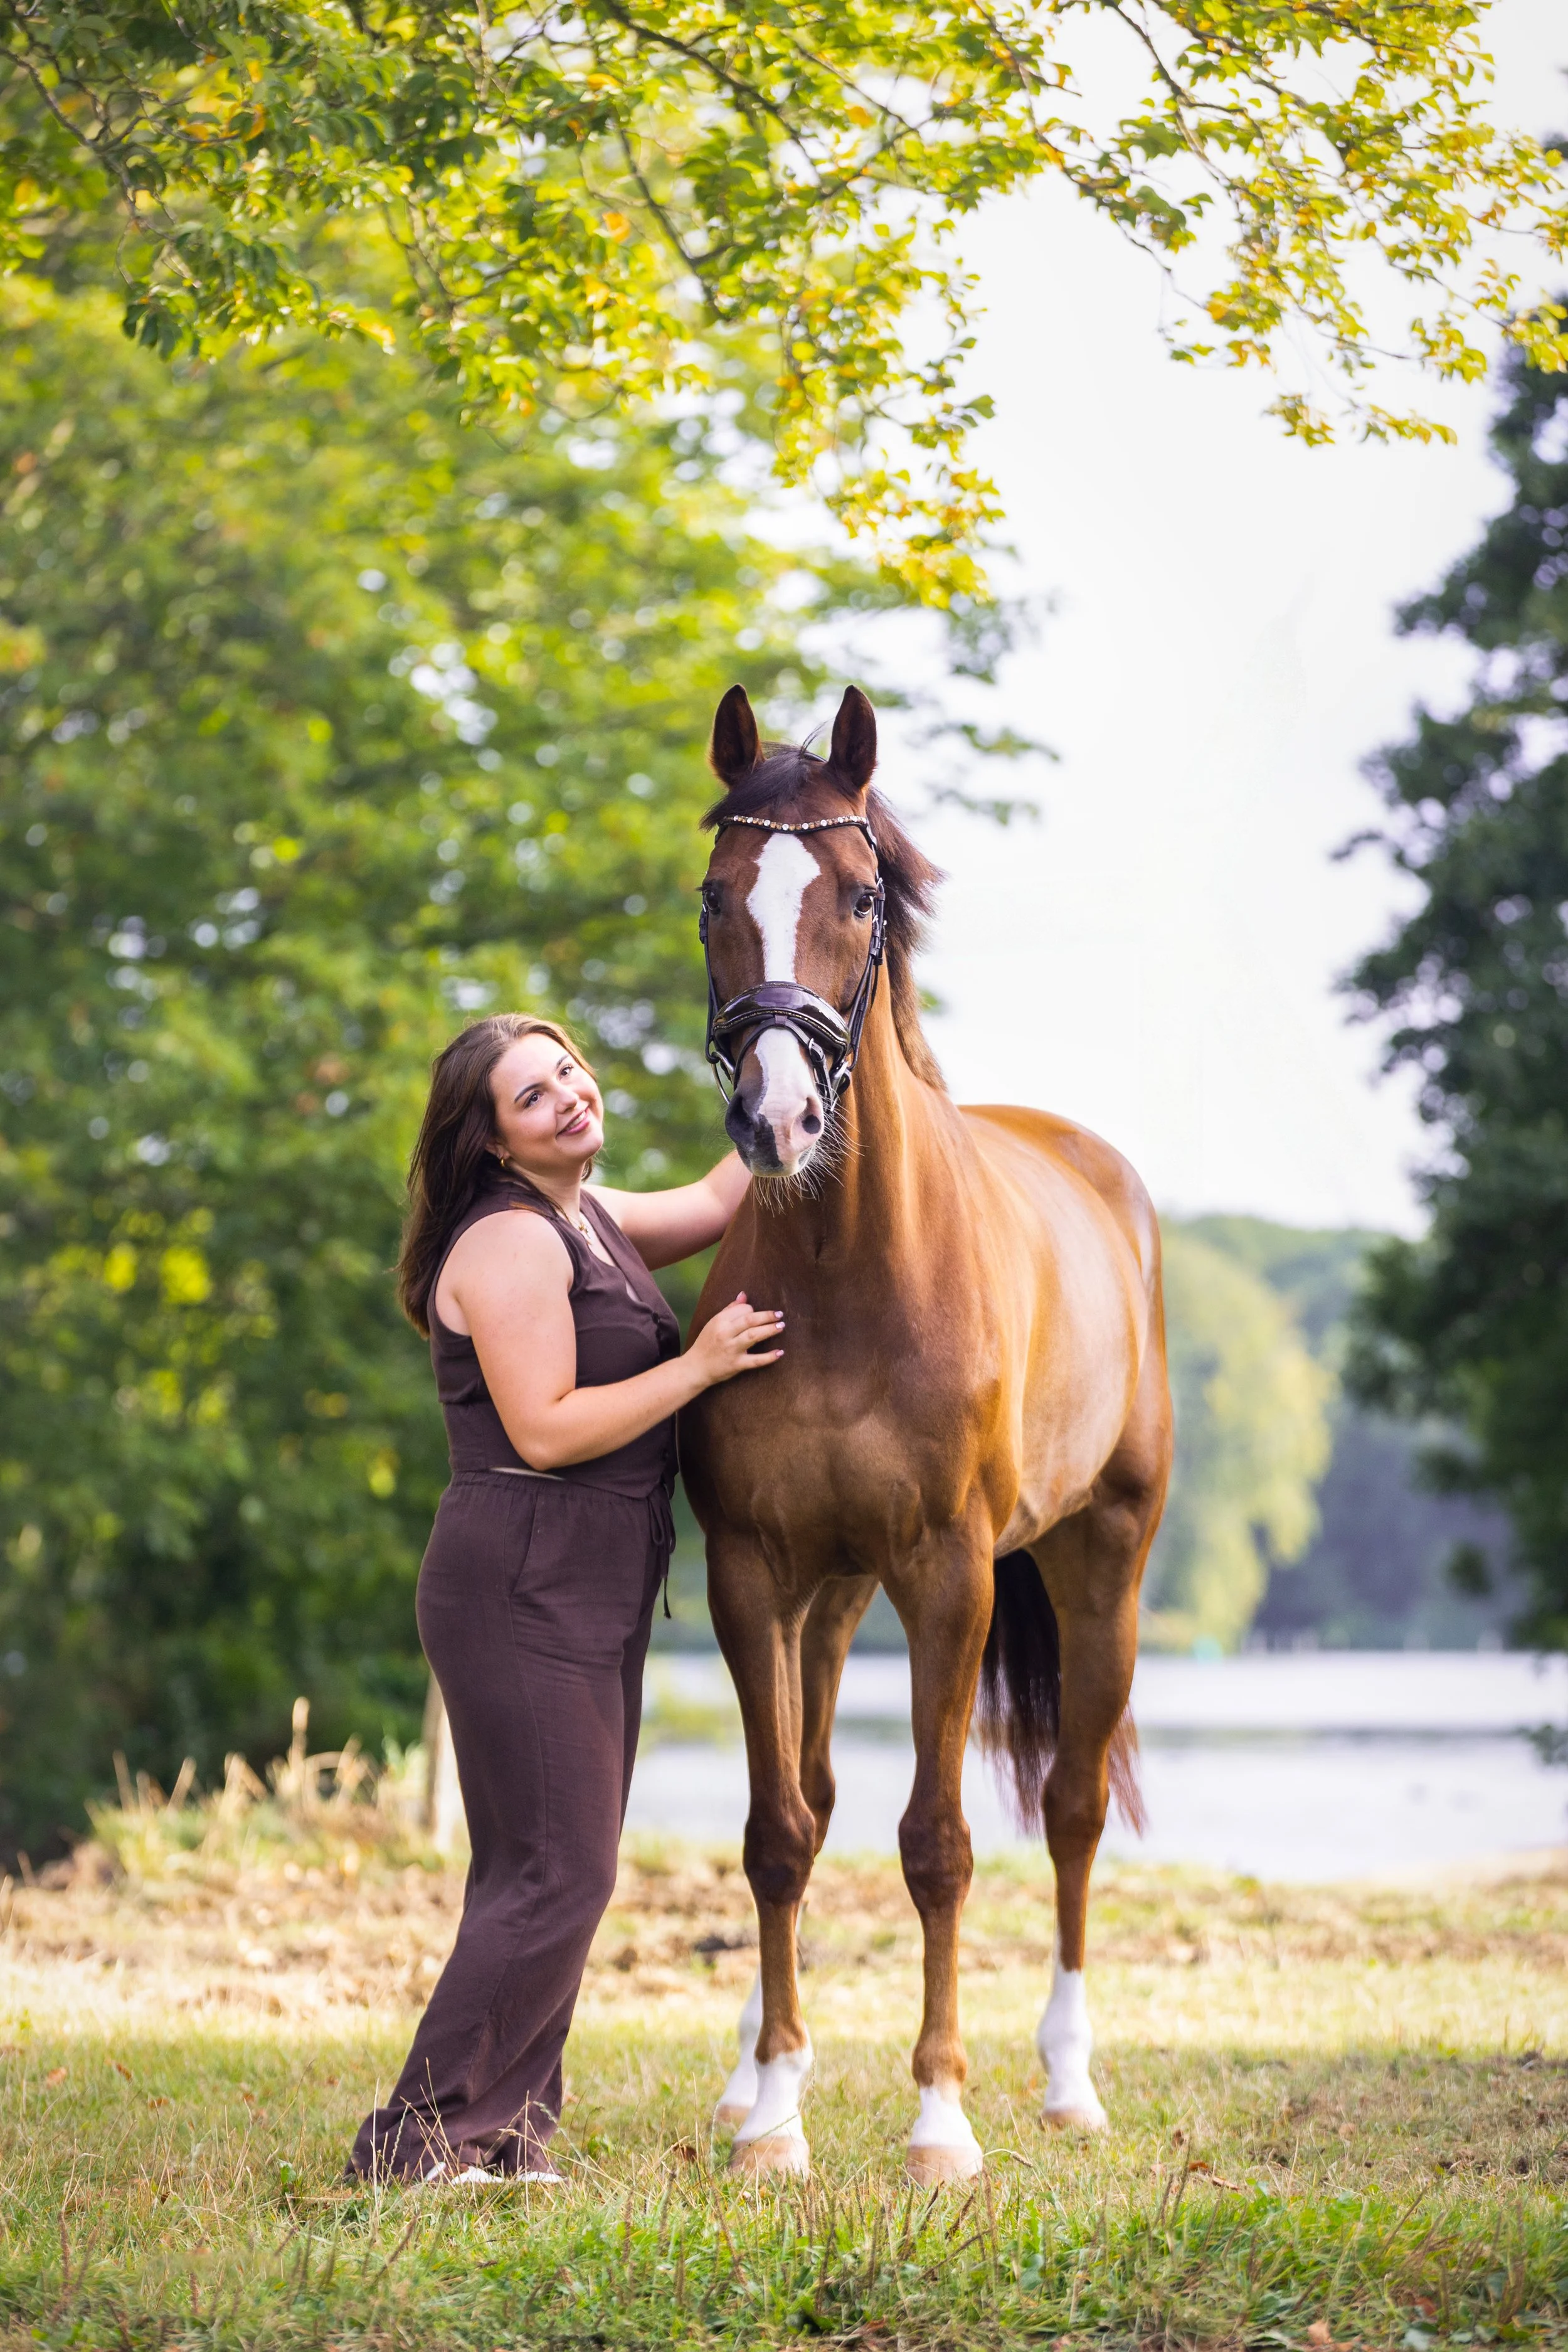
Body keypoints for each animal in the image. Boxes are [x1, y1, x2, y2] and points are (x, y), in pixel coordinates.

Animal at [678, 683, 1172, 2185]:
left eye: (858, 895)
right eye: (714, 896)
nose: (776, 1118)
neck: (852, 1274)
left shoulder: (950, 1576)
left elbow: (940, 1843)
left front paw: (941, 2117)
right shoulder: (754, 1573)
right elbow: (779, 1832)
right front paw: (776, 2111)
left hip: (1101, 1564)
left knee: (1069, 1807)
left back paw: (1068, 2083)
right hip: (833, 1599)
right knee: (817, 1791)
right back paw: (749, 2078)